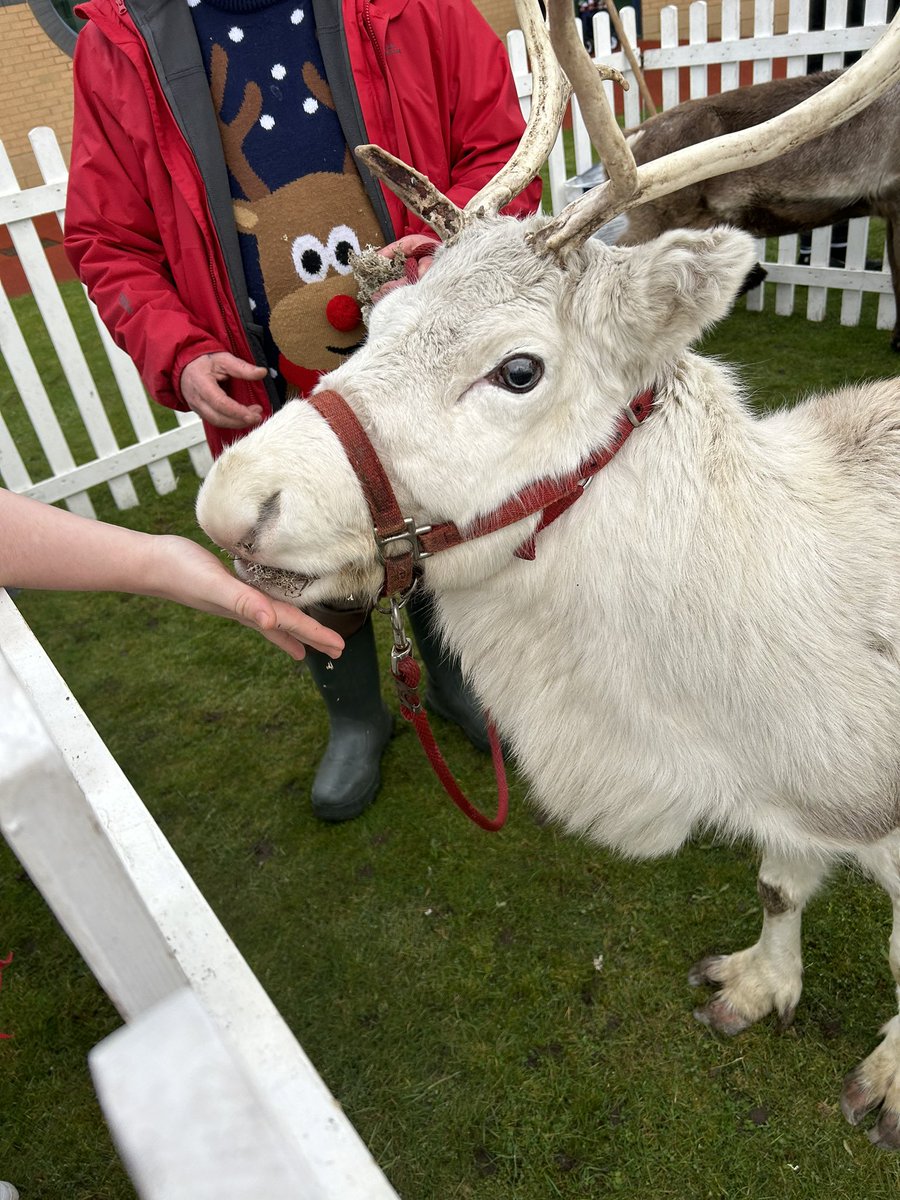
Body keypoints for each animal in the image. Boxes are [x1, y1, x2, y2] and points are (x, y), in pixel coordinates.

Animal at [195, 0, 900, 1151]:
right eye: (374, 319)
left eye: (519, 368)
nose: (233, 501)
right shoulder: (781, 803)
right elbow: (776, 885)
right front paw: (756, 986)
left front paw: (886, 1082)